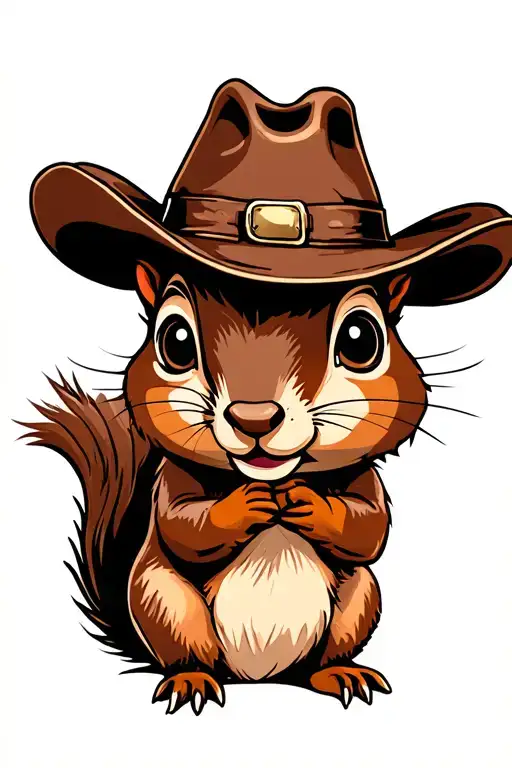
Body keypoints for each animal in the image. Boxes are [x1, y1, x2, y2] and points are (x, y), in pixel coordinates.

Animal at [25, 256, 426, 715]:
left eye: (361, 340)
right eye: (175, 340)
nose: (254, 418)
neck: (272, 476)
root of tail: (257, 676)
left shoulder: (366, 482)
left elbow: (368, 529)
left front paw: (309, 501)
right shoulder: (171, 481)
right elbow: (183, 526)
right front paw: (245, 505)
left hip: (358, 602)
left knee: (324, 653)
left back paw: (339, 672)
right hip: (167, 604)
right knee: (189, 652)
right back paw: (191, 680)